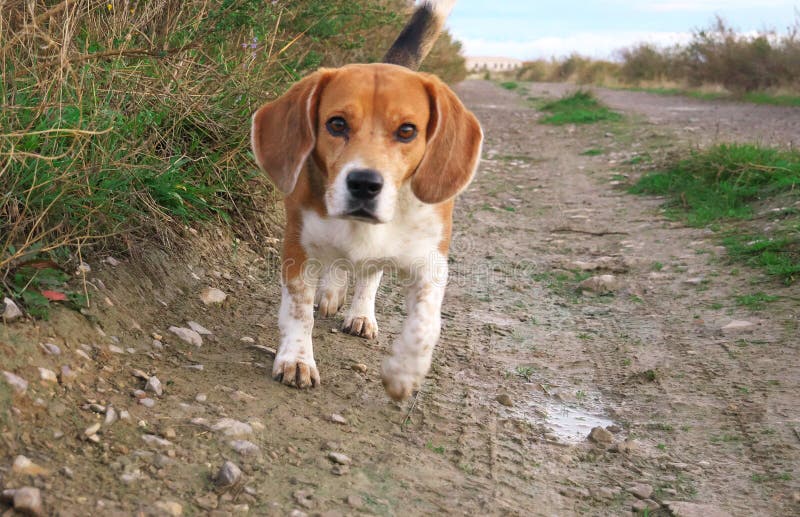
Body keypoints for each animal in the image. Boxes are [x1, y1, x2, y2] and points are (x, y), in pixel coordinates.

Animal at [250, 0, 482, 402]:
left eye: (407, 130)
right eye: (336, 124)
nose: (364, 183)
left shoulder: (432, 262)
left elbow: (425, 323)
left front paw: (404, 371)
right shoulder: (297, 248)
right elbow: (298, 310)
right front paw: (297, 358)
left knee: (371, 275)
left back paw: (361, 313)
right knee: (339, 268)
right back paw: (332, 292)